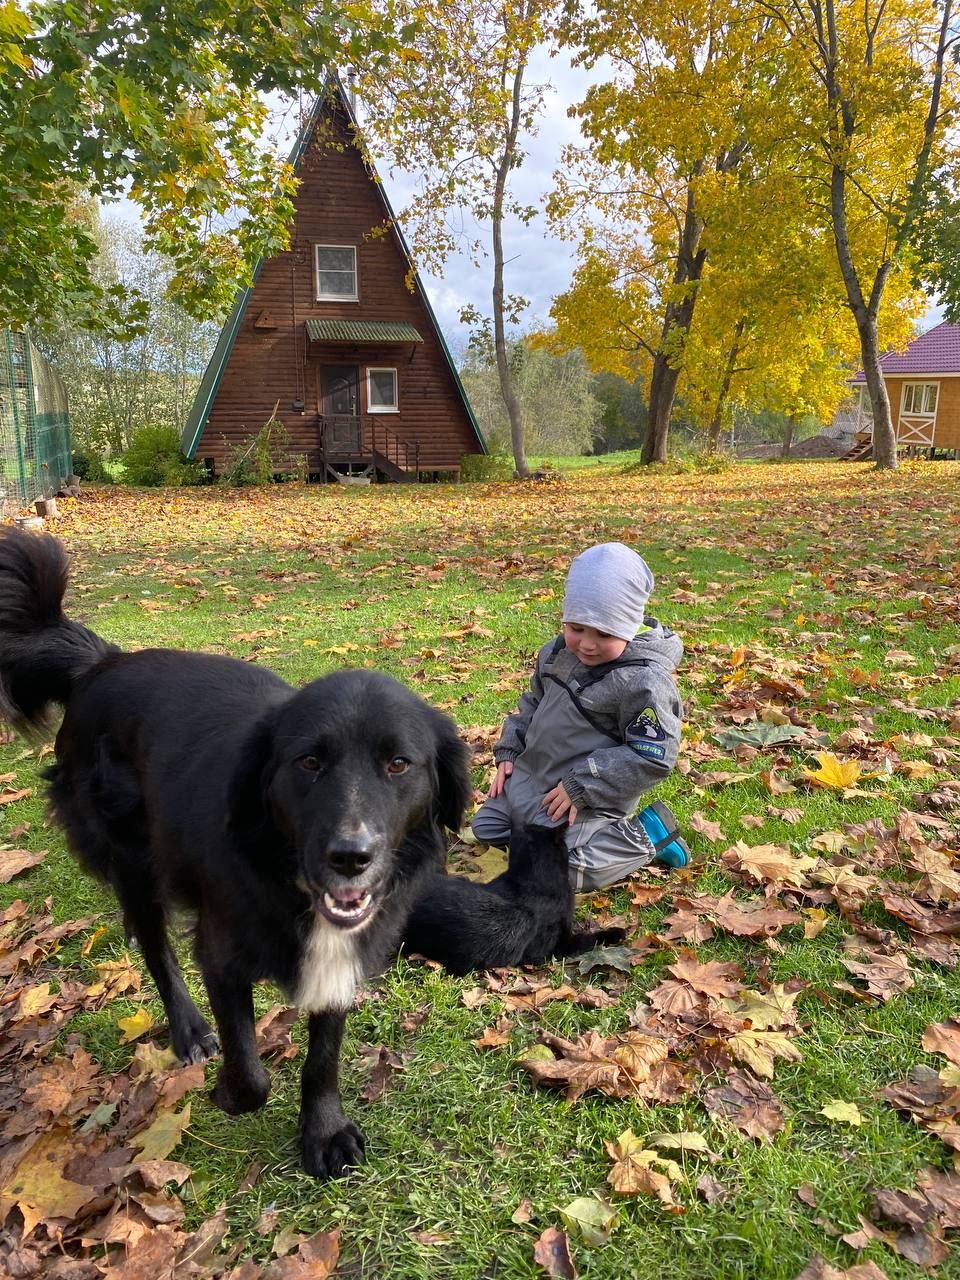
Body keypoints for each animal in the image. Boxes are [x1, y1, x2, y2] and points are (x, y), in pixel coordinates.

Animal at [0, 529, 471, 1177]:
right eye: (309, 761)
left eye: (399, 764)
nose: (351, 857)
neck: (284, 875)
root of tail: (104, 662)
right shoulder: (221, 955)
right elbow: (251, 1074)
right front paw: (227, 1091)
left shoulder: (341, 959)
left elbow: (323, 1055)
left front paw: (322, 1131)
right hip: (133, 858)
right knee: (156, 947)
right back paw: (188, 1028)